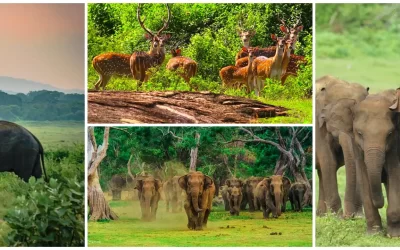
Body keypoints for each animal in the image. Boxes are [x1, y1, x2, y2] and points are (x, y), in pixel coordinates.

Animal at [316, 75, 368, 217]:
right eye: (330, 118)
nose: (349, 216)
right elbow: (328, 161)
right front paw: (337, 217)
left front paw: (359, 217)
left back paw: (321, 215)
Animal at [354, 89, 400, 237]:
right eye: (359, 133)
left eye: (389, 133)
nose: (380, 203)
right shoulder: (357, 147)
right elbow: (363, 176)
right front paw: (373, 234)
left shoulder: (396, 143)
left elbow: (395, 173)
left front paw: (394, 235)